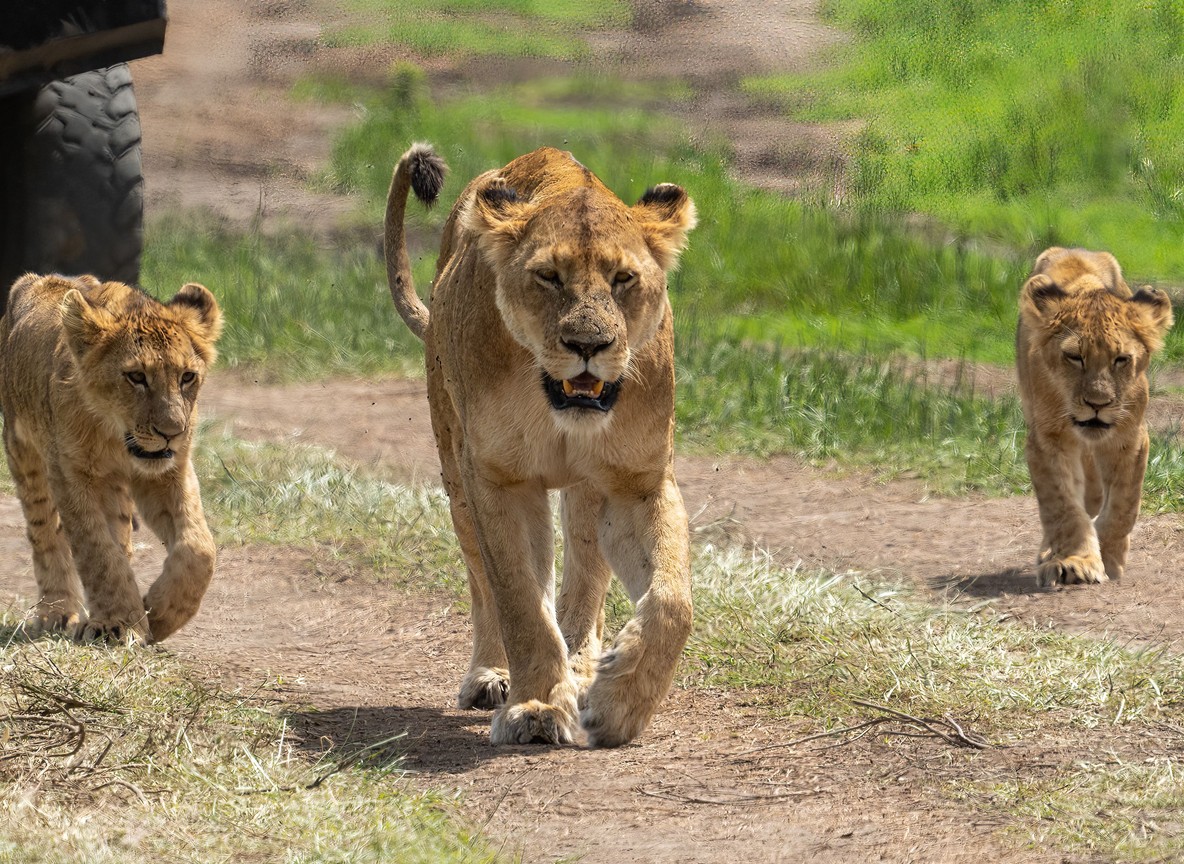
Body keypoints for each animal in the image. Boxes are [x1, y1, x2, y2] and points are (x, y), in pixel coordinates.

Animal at [0, 273, 223, 643]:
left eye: (187, 377)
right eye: (136, 377)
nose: (172, 432)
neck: (114, 435)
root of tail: (45, 278)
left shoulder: (169, 471)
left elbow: (198, 547)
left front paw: (159, 615)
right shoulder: (70, 475)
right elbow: (97, 552)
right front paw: (119, 623)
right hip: (24, 451)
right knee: (44, 532)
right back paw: (57, 613)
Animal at [385, 143, 697, 747]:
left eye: (624, 278)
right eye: (548, 277)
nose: (587, 344)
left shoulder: (638, 483)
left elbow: (672, 601)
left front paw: (618, 702)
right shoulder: (498, 479)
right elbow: (519, 602)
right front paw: (536, 707)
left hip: (586, 492)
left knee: (584, 581)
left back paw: (583, 667)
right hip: (456, 472)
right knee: (486, 584)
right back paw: (493, 676)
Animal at [1016, 247, 1174, 586]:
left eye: (1121, 359)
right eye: (1074, 357)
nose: (1097, 403)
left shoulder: (1130, 436)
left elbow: (1122, 506)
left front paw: (1111, 560)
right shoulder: (1047, 438)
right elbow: (1062, 505)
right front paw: (1076, 561)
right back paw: (1050, 551)